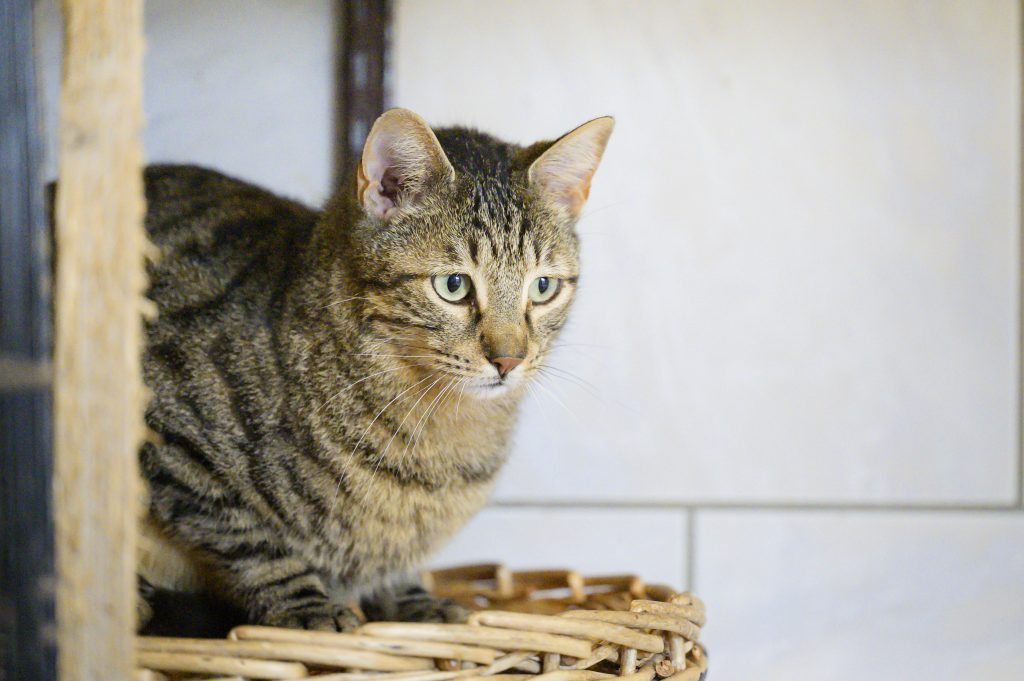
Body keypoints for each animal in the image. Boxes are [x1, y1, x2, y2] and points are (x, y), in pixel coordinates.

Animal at [138, 108, 613, 631]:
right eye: (453, 286)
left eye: (543, 287)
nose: (509, 359)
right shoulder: (172, 445)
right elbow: (256, 545)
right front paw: (308, 608)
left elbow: (393, 563)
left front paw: (413, 601)